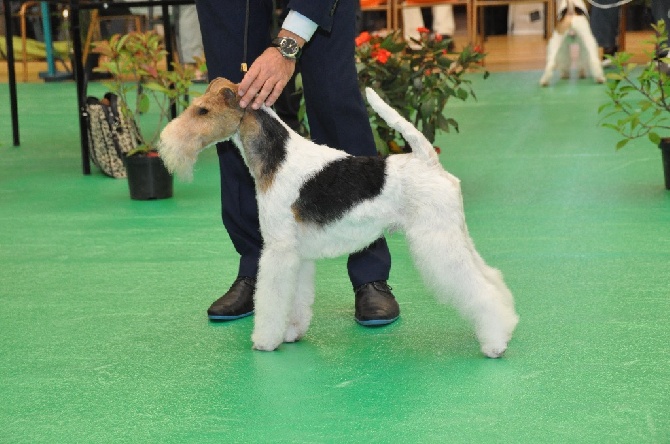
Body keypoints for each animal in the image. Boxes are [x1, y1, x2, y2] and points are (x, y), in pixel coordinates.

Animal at [158, 77, 520, 358]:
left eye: (203, 111)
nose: (164, 143)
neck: (277, 159)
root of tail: (428, 161)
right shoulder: (297, 254)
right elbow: (295, 299)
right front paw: (291, 332)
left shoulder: (277, 249)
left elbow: (271, 299)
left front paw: (265, 340)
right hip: (454, 234)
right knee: (490, 277)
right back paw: (507, 325)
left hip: (437, 240)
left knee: (479, 290)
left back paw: (494, 343)